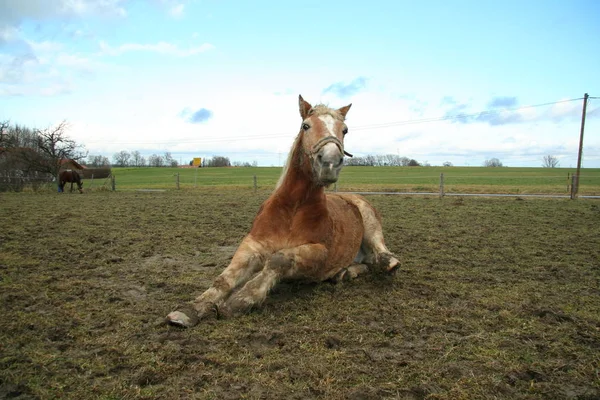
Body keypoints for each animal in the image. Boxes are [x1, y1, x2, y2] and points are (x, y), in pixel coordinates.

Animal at [166, 95, 400, 326]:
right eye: (305, 126)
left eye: (345, 130)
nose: (330, 162)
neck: (292, 210)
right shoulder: (253, 244)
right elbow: (224, 278)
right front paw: (189, 310)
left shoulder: (319, 251)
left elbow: (278, 259)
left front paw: (239, 300)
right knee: (366, 261)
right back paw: (344, 273)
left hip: (370, 224)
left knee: (382, 254)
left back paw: (381, 264)